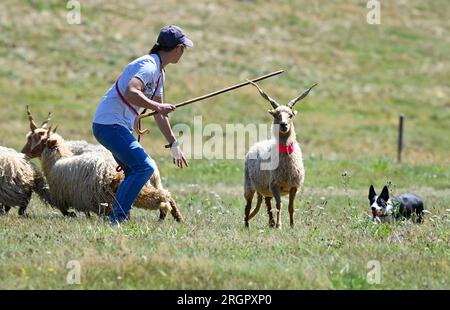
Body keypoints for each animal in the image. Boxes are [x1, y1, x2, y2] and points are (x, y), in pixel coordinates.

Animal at [244, 81, 314, 229]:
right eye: (275, 115)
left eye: (291, 115)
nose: (283, 125)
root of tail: (256, 144)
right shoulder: (275, 185)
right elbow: (279, 205)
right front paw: (279, 226)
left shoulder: (294, 186)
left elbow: (291, 207)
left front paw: (292, 226)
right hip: (249, 185)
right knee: (248, 206)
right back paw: (247, 225)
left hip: (265, 188)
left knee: (267, 204)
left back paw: (270, 223)